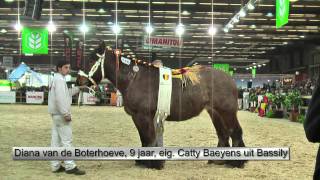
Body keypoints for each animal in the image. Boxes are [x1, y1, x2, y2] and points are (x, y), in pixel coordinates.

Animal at [76, 41, 246, 169]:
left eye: (91, 61)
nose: (78, 81)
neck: (135, 78)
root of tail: (230, 79)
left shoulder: (143, 115)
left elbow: (149, 138)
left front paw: (154, 164)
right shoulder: (138, 117)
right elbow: (144, 139)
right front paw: (144, 162)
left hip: (227, 112)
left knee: (235, 132)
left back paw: (237, 163)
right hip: (215, 112)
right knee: (223, 134)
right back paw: (218, 160)